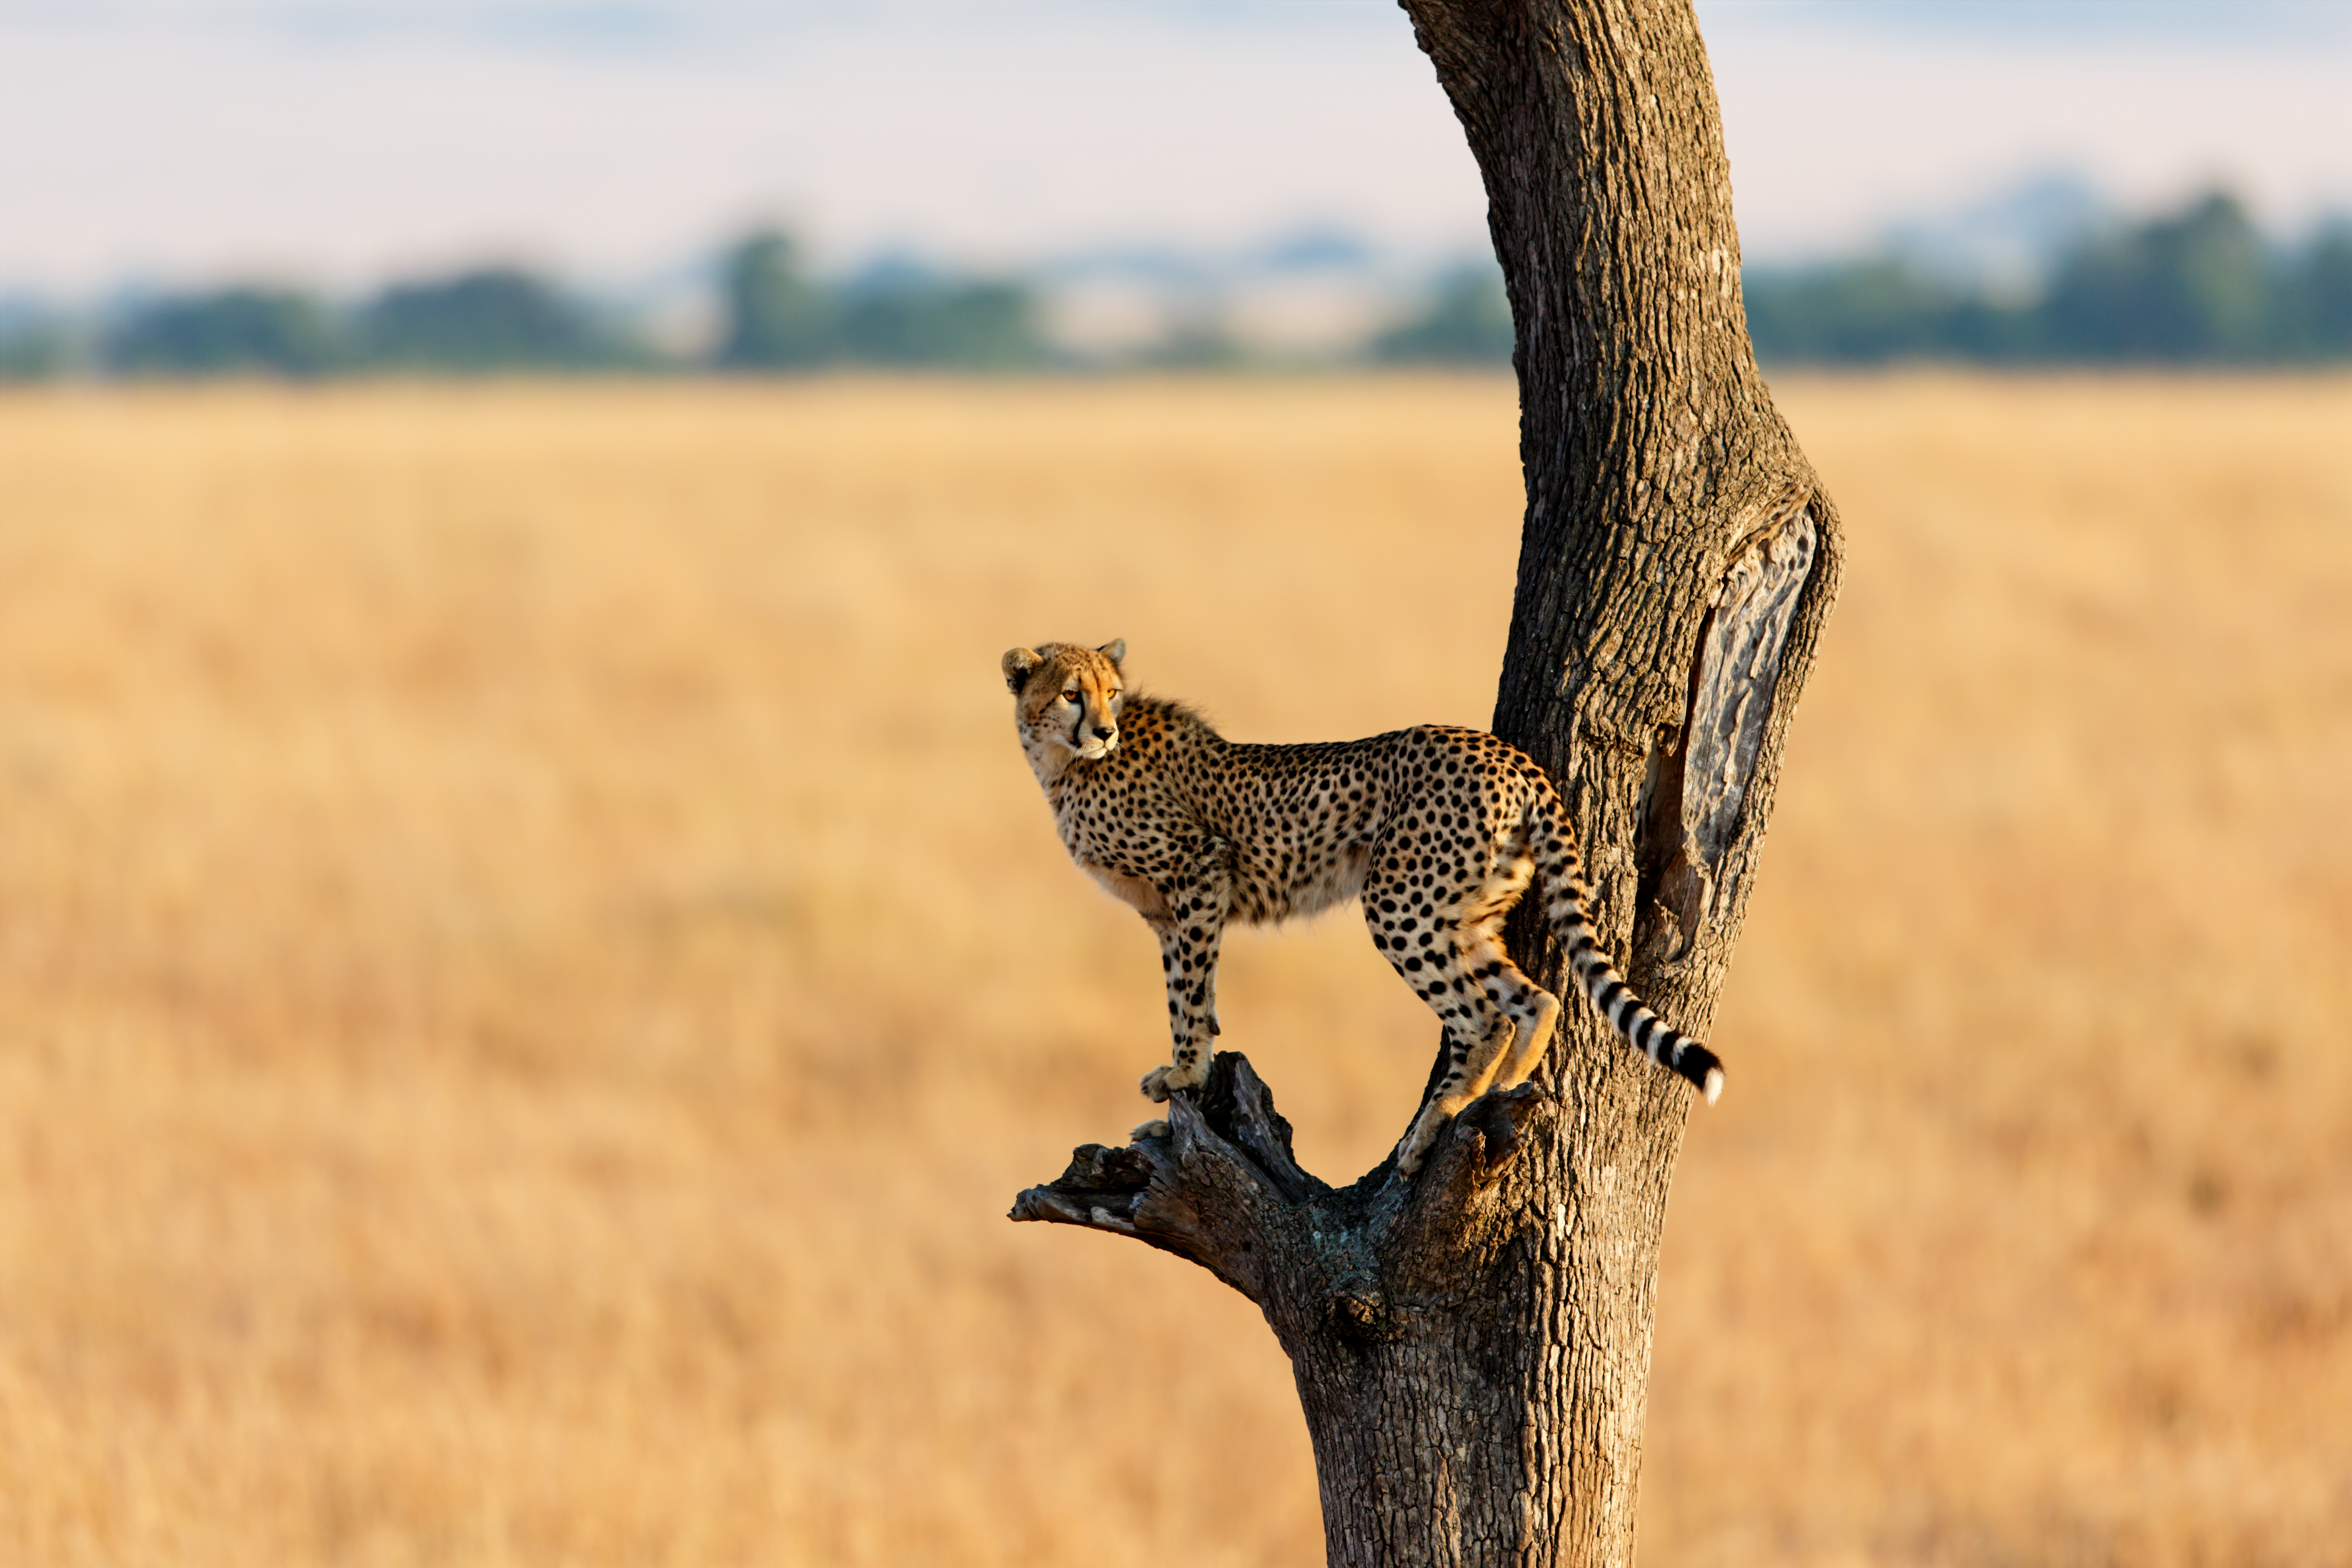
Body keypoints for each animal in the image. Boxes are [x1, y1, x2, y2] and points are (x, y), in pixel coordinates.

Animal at [1002, 639, 1722, 1175]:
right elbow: (1195, 994)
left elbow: (1187, 997)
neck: (1066, 763)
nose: (1104, 729)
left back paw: (1436, 1124)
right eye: (1072, 693)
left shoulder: (1199, 872)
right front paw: (1186, 1086)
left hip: (1399, 902)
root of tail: (1508, 754)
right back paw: (1505, 1090)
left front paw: (1182, 1074)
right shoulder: (1168, 911)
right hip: (1465, 910)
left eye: (1111, 692)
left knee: (1483, 1016)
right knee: (1535, 999)